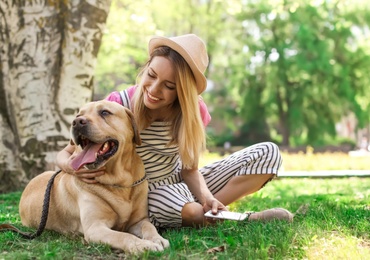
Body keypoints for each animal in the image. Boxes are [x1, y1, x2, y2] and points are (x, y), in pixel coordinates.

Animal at [19, 100, 170, 254]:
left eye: (105, 112)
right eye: (78, 115)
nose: (77, 122)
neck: (119, 182)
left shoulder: (139, 220)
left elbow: (149, 226)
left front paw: (157, 239)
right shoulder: (95, 228)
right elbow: (123, 236)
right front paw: (143, 245)